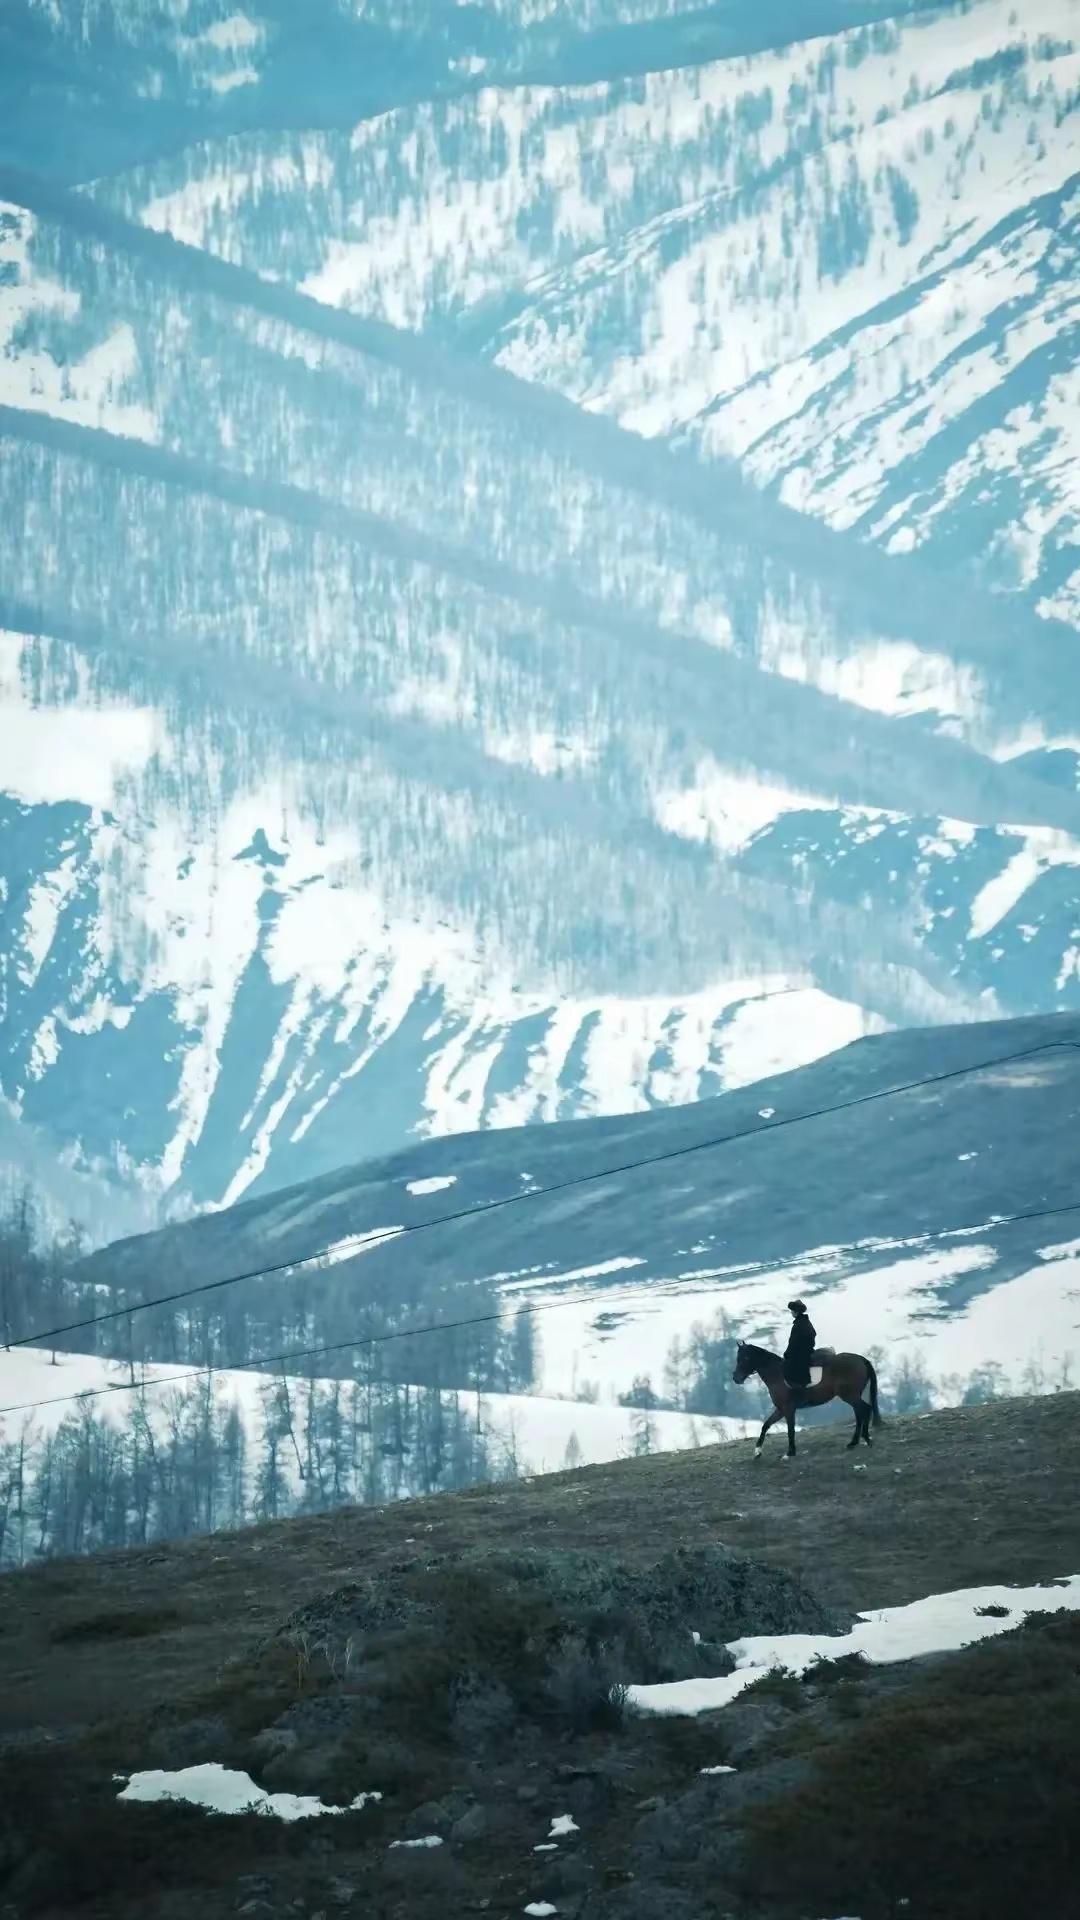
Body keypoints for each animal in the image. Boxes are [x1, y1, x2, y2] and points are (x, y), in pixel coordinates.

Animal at [726, 1344, 880, 1459]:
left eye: (745, 1358)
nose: (736, 1378)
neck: (778, 1374)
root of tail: (860, 1359)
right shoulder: (780, 1409)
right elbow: (766, 1425)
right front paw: (758, 1451)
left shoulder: (788, 1409)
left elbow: (790, 1430)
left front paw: (790, 1453)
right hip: (852, 1396)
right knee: (860, 1413)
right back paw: (854, 1442)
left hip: (850, 1395)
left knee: (865, 1409)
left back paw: (866, 1439)